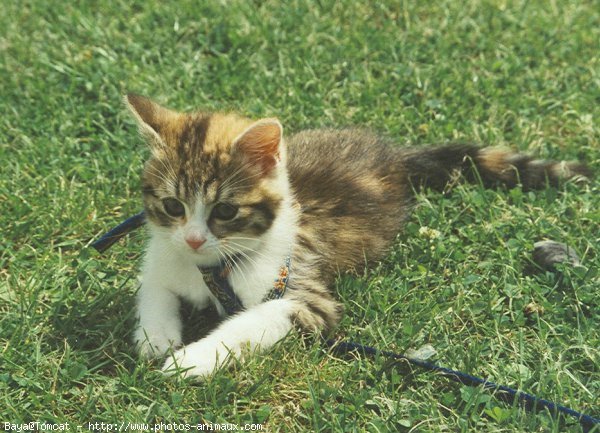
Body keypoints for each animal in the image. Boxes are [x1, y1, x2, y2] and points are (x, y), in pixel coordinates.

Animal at [126, 93, 592, 374]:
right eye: (173, 206)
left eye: (224, 211)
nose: (193, 239)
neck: (210, 269)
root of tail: (394, 155)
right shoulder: (162, 259)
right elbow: (153, 290)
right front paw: (157, 338)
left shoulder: (301, 291)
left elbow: (252, 321)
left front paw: (192, 358)